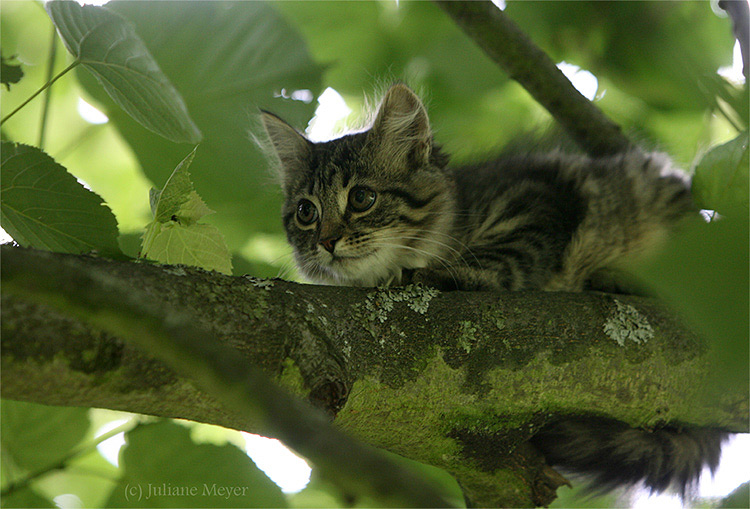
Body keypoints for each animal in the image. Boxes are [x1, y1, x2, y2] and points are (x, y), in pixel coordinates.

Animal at [262, 84, 728, 496]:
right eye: (306, 212)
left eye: (361, 198)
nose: (326, 241)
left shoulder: (536, 198)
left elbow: (500, 258)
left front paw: (435, 274)